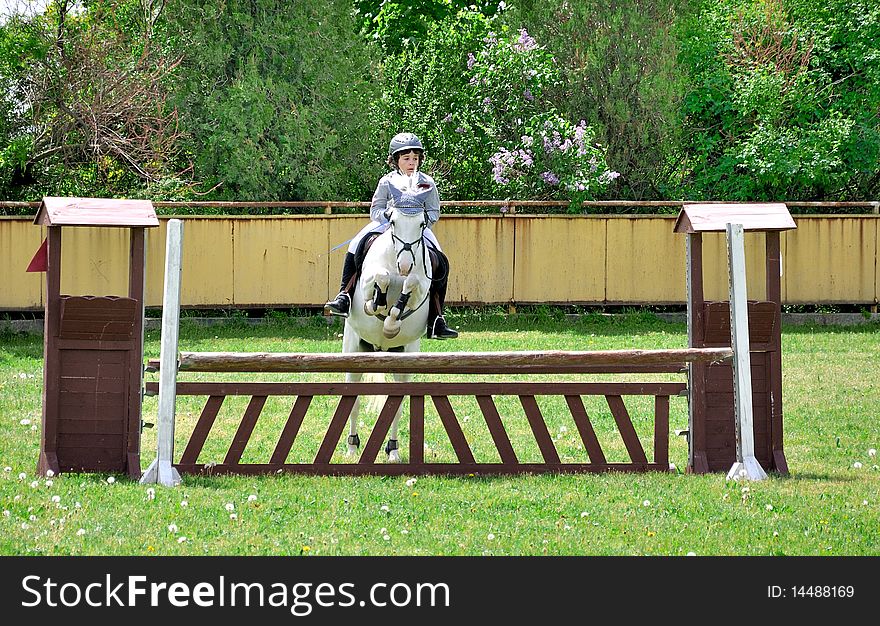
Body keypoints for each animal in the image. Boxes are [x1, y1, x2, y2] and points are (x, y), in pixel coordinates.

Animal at [340, 207, 434, 460]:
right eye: (392, 222)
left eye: (422, 224)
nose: (405, 265)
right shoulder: (368, 280)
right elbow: (380, 277)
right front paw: (376, 304)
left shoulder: (420, 288)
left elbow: (412, 283)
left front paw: (392, 321)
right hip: (353, 350)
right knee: (353, 403)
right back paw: (352, 448)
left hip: (404, 356)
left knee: (397, 406)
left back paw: (393, 450)